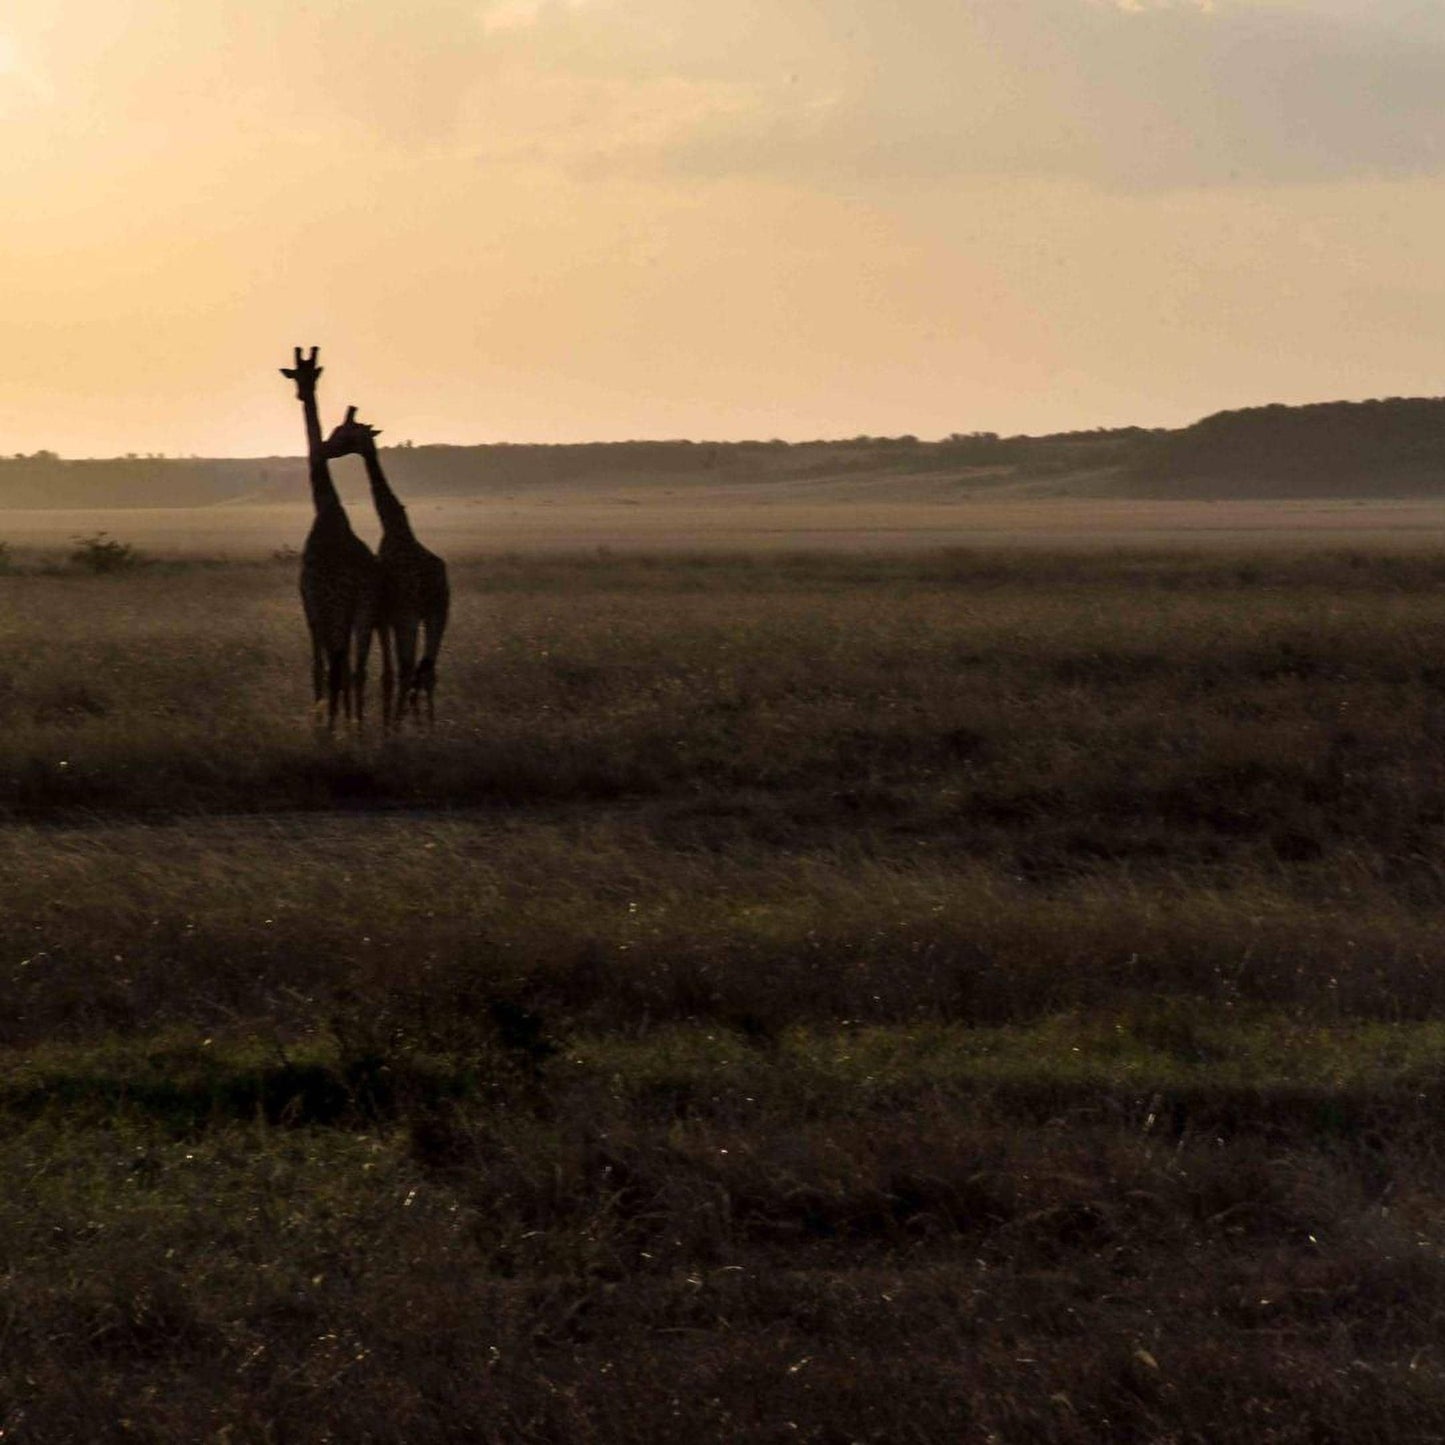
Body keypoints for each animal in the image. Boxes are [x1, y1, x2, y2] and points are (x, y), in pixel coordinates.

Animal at [280, 348, 379, 732]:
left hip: (336, 612)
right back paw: (351, 726)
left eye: (309, 375)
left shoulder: (309, 605)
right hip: (354, 611)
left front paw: (329, 726)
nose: (301, 393)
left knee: (338, 669)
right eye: (299, 375)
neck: (327, 510)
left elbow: (319, 670)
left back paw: (340, 726)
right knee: (349, 669)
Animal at [325, 406, 450, 729]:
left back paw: (403, 725)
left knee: (410, 669)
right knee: (428, 670)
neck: (394, 528)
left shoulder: (389, 616)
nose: (326, 449)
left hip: (410, 615)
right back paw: (429, 727)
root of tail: (431, 584)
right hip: (438, 614)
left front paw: (389, 725)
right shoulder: (391, 618)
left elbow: (390, 673)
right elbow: (392, 673)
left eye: (343, 433)